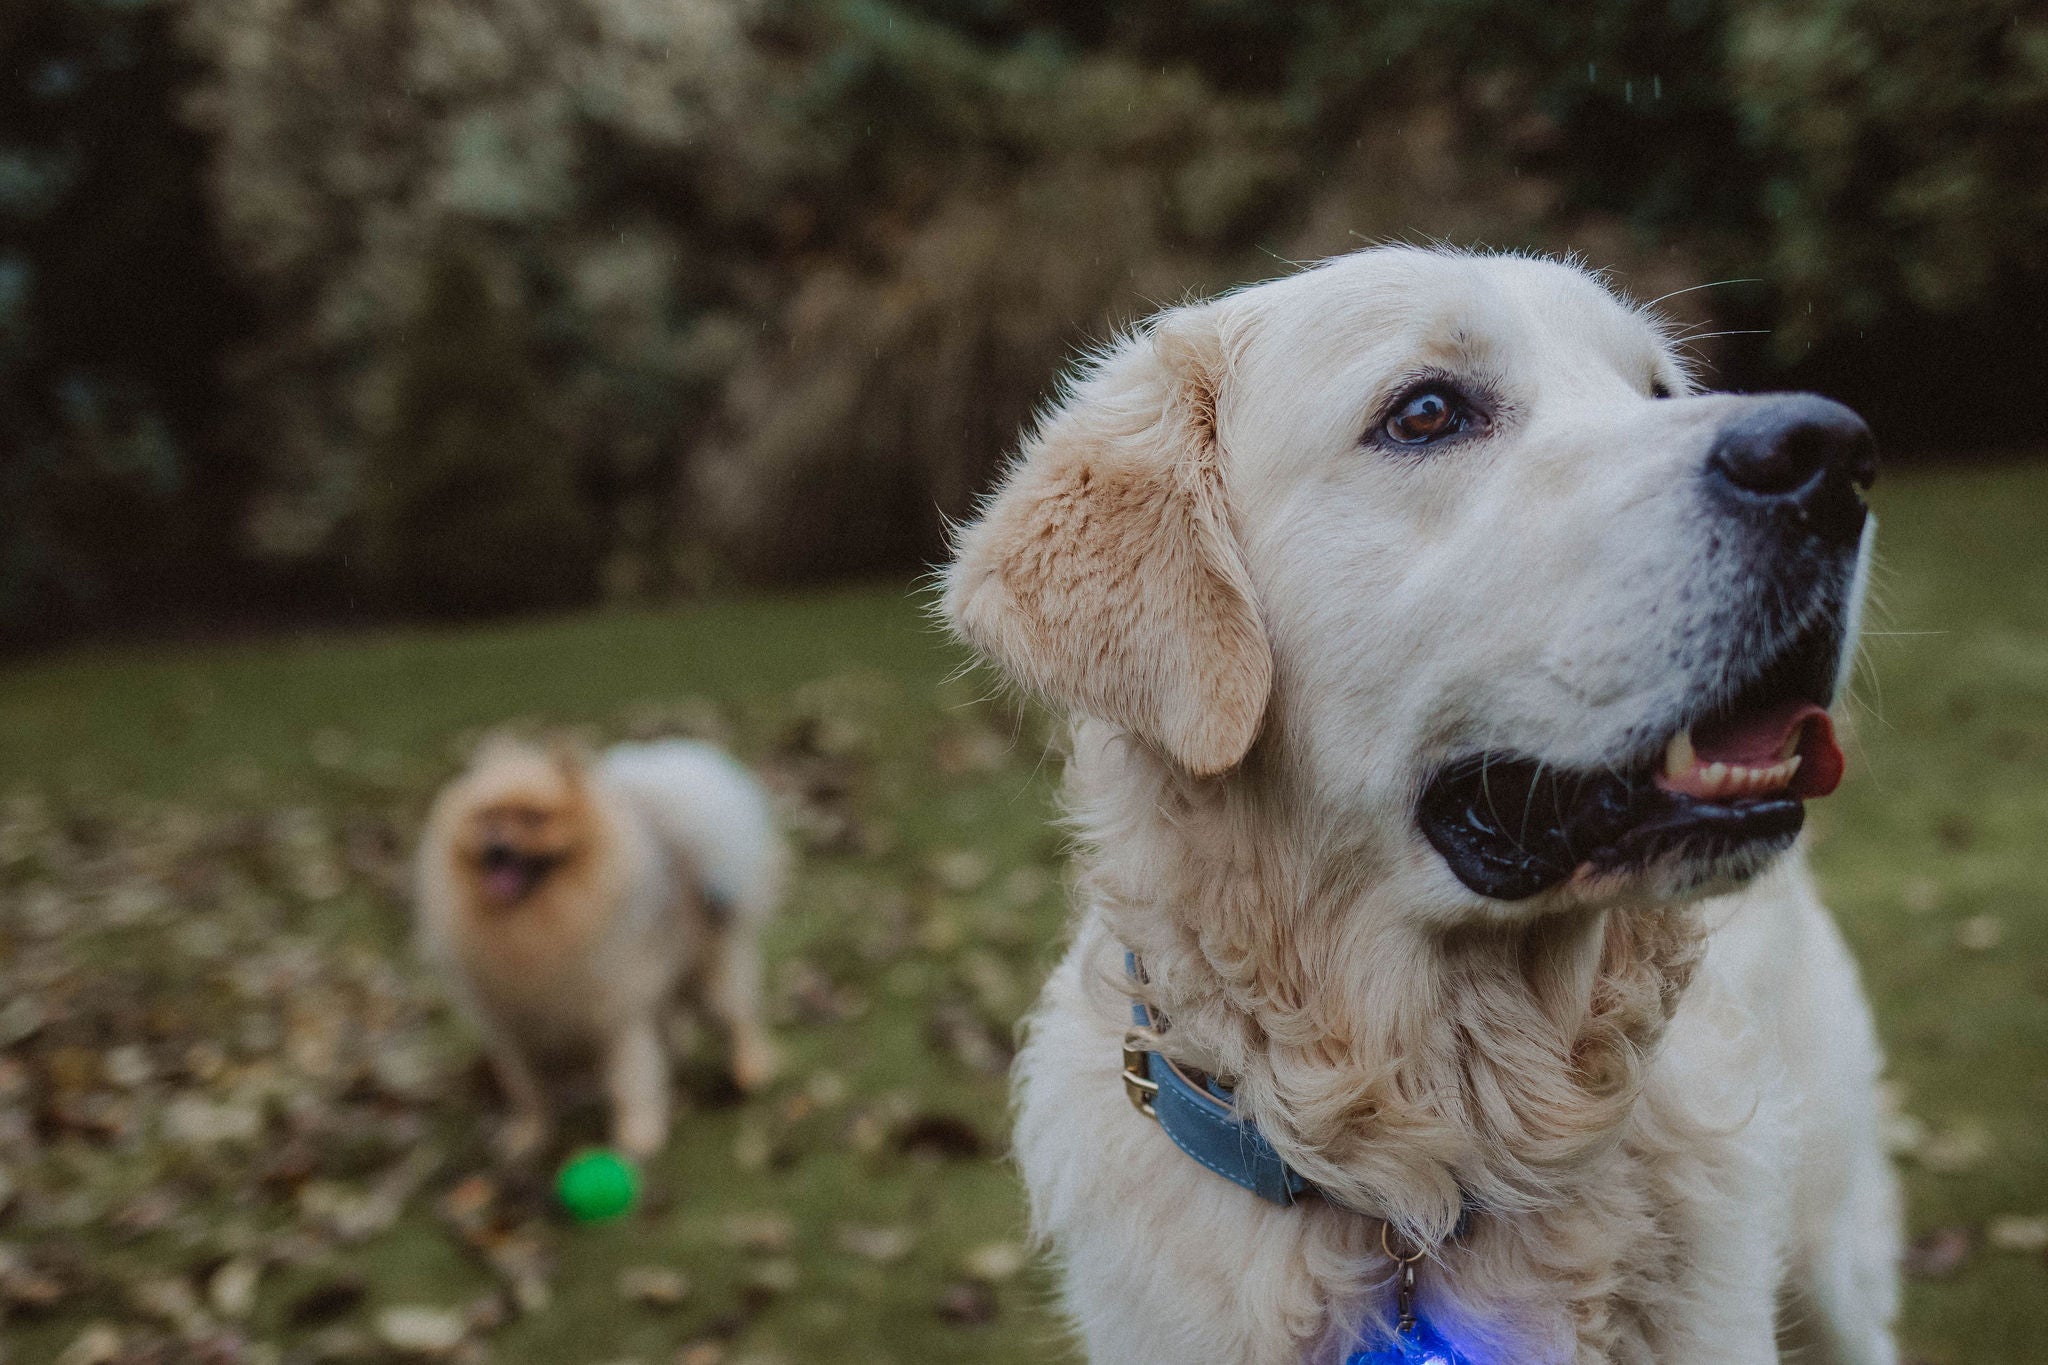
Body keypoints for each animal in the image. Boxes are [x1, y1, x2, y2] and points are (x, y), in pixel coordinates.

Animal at [415, 740, 782, 1162]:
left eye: (534, 818)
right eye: (488, 818)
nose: (497, 849)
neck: (533, 928)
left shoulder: (617, 1020)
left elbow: (630, 1082)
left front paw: (638, 1137)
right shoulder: (512, 1032)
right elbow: (528, 1093)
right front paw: (529, 1136)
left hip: (707, 980)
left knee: (739, 1019)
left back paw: (751, 1069)